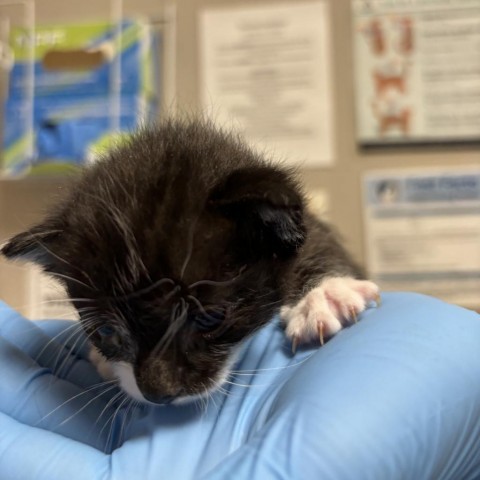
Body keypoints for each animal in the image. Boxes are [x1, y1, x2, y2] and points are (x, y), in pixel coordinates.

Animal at [2, 119, 378, 404]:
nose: (157, 393)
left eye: (210, 318)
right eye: (106, 330)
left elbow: (316, 242)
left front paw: (324, 295)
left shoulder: (306, 224)